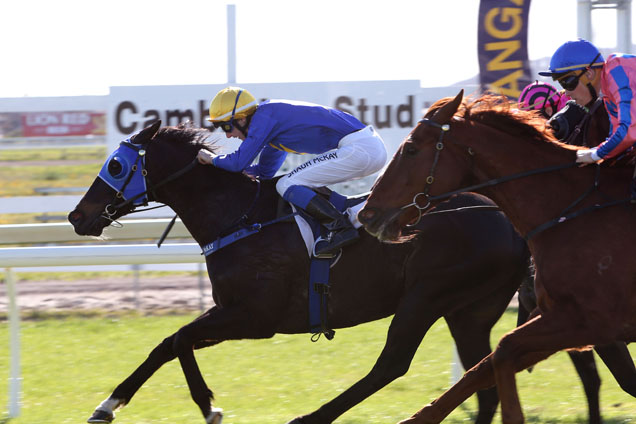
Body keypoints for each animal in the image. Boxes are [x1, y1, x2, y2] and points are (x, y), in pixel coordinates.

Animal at [68, 121, 532, 422]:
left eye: (114, 165)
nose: (77, 216)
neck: (240, 218)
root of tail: (506, 219)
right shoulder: (232, 314)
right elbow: (167, 344)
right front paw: (107, 406)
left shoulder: (255, 317)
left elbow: (179, 339)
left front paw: (208, 406)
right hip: (468, 311)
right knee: (483, 379)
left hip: (426, 296)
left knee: (392, 365)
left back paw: (312, 417)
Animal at [358, 91, 636, 422]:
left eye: (411, 148)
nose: (367, 214)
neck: (572, 210)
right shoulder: (561, 319)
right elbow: (486, 365)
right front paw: (420, 416)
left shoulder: (590, 321)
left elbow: (502, 351)